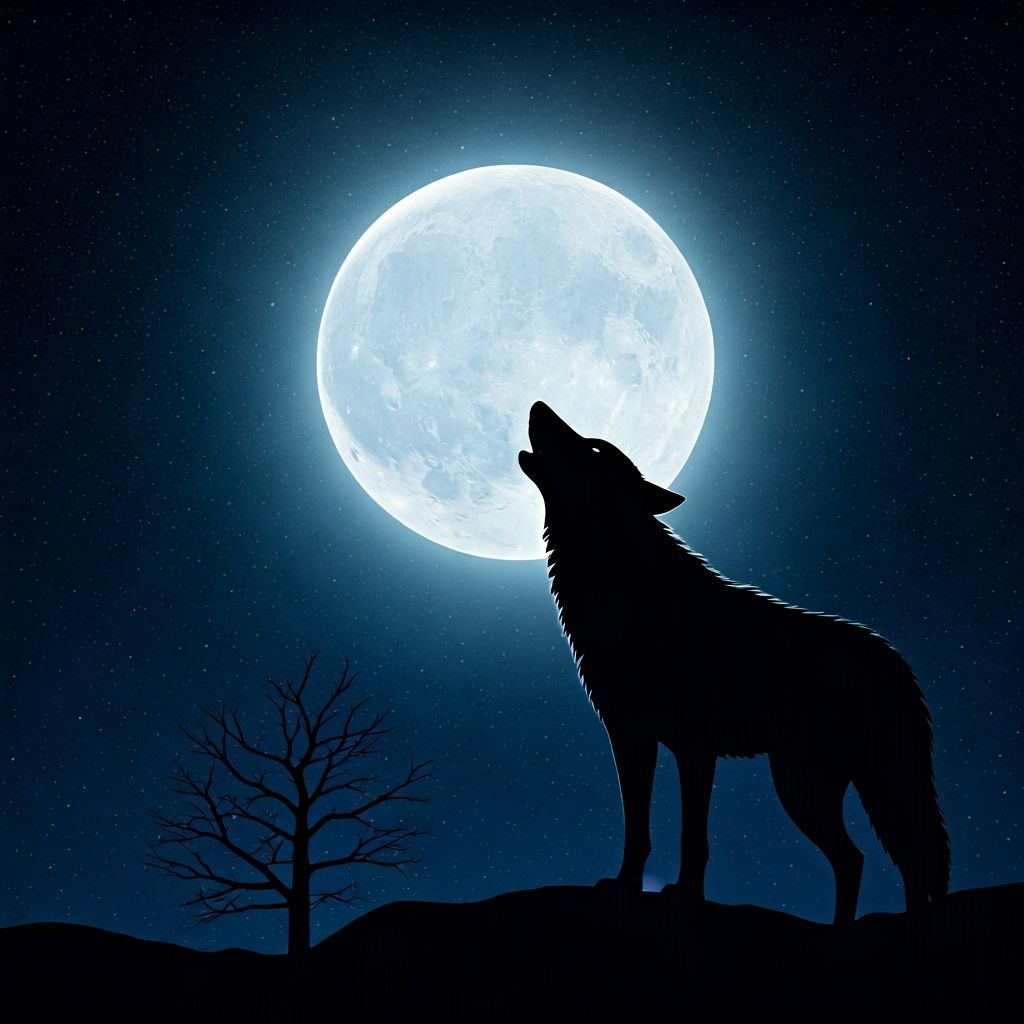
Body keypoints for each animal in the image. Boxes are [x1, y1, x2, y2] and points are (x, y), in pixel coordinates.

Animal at [519, 401, 950, 924]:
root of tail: (898, 662)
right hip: (834, 782)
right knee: (884, 859)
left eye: (597, 447)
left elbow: (693, 836)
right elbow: (637, 828)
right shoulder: (631, 737)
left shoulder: (694, 745)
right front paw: (624, 887)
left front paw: (685, 896)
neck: (628, 588)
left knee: (875, 857)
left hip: (804, 784)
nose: (538, 405)